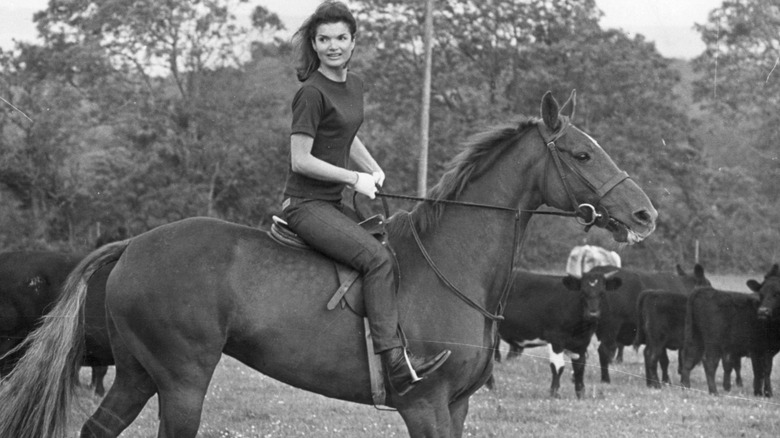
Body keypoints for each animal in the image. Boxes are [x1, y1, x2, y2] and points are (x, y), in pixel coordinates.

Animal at [490, 268, 620, 398]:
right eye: (583, 293)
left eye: (602, 293)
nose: (593, 314)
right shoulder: (556, 339)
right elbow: (558, 366)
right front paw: (554, 393)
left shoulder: (582, 343)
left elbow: (579, 367)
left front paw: (580, 394)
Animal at [680, 264, 780, 396]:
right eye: (761, 294)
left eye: (777, 294)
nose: (763, 311)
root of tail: (704, 290)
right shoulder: (761, 349)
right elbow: (763, 371)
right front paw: (765, 393)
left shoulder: (762, 350)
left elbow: (762, 371)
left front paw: (760, 392)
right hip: (713, 342)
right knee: (709, 362)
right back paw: (714, 391)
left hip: (695, 336)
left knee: (688, 359)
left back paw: (686, 387)